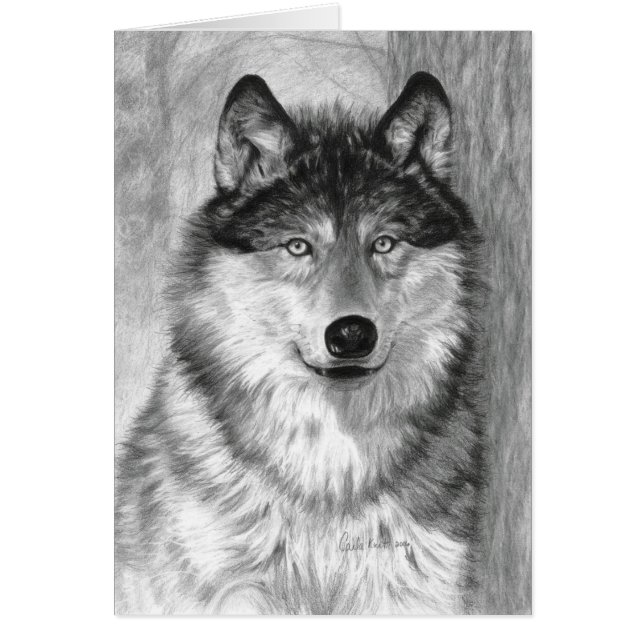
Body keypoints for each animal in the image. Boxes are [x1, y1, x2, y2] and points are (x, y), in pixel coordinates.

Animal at [115, 71, 486, 615]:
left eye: (384, 242)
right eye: (297, 246)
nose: (351, 333)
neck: (330, 472)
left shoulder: (410, 590)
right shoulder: (229, 591)